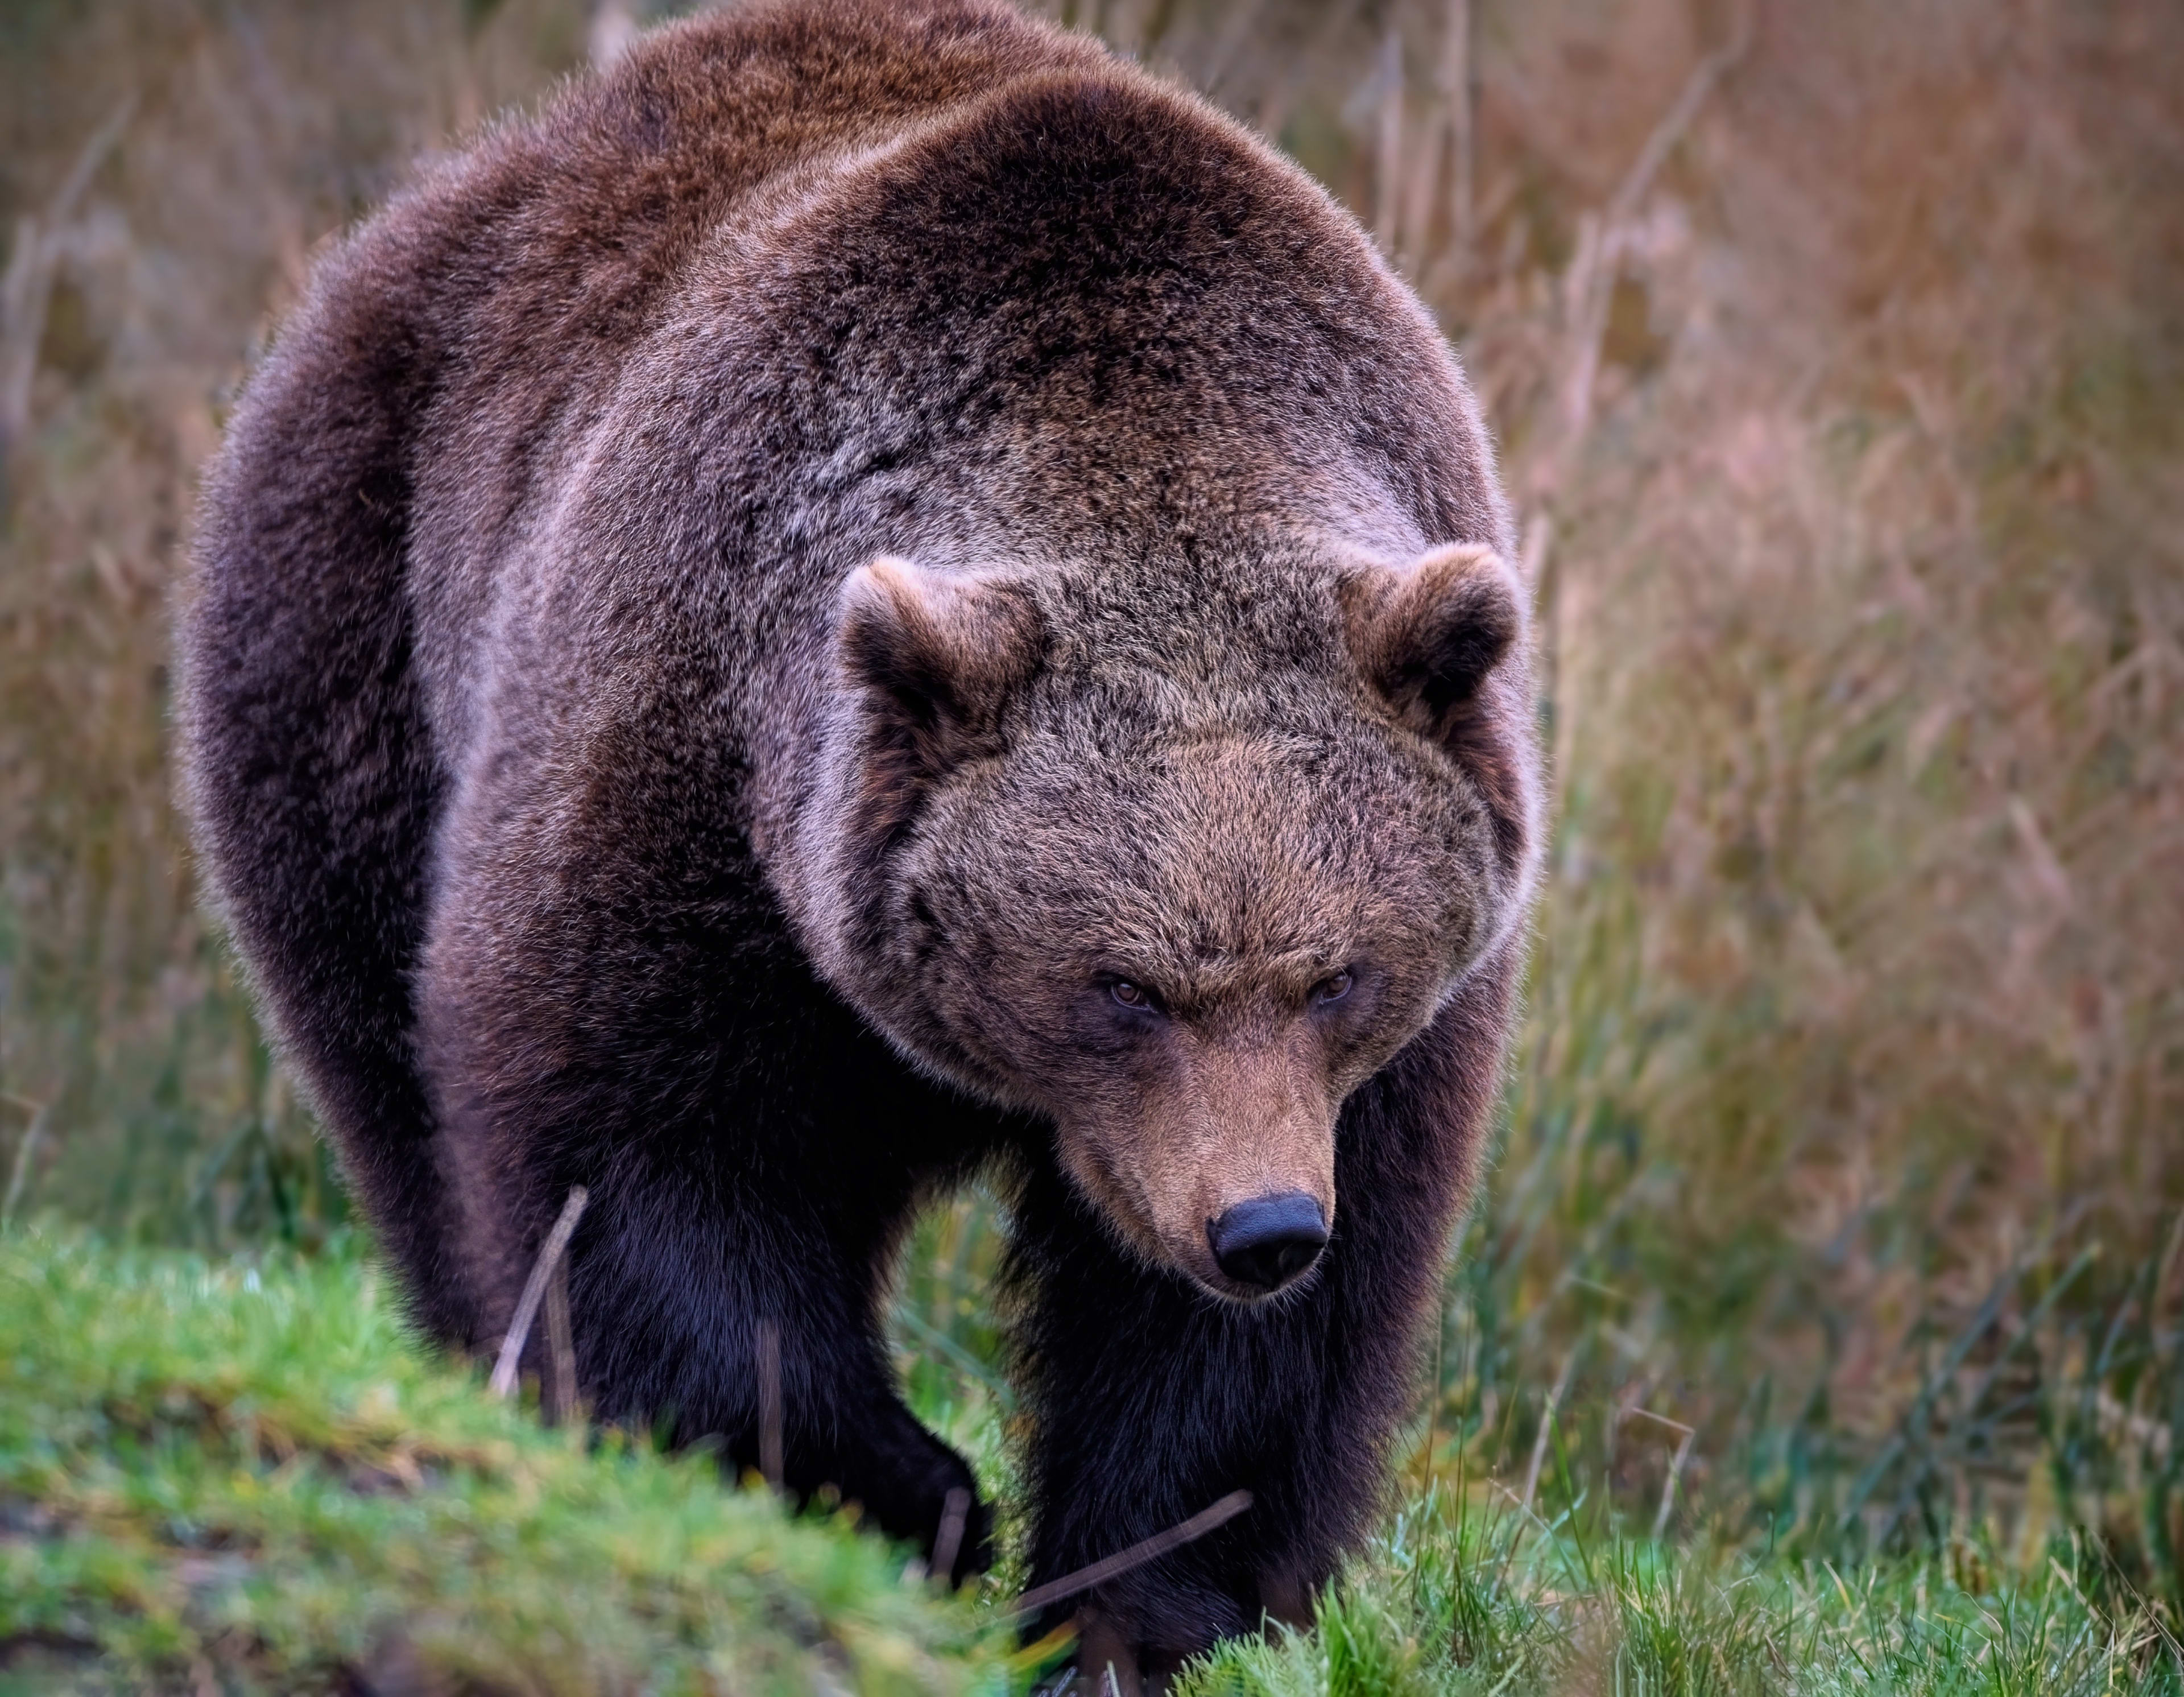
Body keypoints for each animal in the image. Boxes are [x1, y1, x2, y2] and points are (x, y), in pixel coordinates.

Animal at [179, 0, 1546, 1669]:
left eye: (1334, 972)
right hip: (351, 629)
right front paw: (907, 1494)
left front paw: (1138, 1606)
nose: (1260, 1224)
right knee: (395, 1077)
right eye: (1121, 986)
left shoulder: (1386, 1048)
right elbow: (637, 1148)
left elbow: (1254, 1351)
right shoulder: (693, 762)